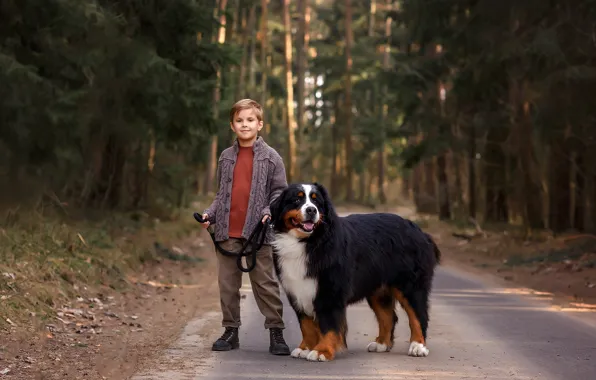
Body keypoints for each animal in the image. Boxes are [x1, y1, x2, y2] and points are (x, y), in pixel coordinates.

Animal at [268, 183, 440, 362]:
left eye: (317, 202)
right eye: (296, 199)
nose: (311, 210)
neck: (308, 242)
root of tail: (419, 231)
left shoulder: (330, 291)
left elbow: (329, 324)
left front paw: (322, 351)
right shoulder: (298, 290)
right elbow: (306, 324)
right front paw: (305, 348)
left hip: (410, 285)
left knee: (418, 315)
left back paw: (418, 346)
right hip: (378, 289)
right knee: (388, 316)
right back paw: (381, 344)